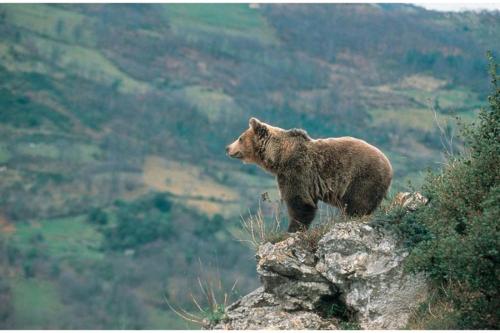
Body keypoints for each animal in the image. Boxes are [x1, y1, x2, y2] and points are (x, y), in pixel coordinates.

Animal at [227, 118, 394, 232]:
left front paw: (292, 230)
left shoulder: (296, 171)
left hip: (362, 177)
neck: (279, 157)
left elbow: (300, 202)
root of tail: (389, 165)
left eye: (240, 138)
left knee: (358, 204)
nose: (227, 148)